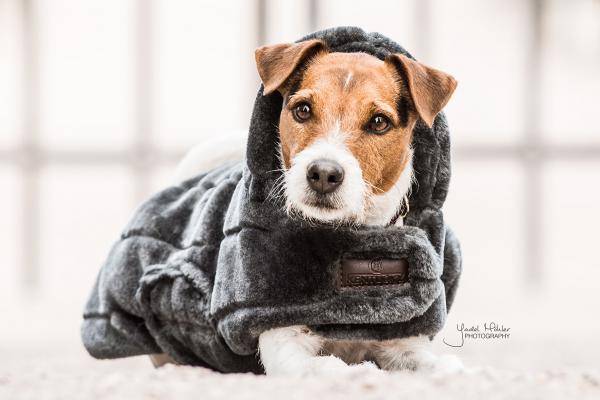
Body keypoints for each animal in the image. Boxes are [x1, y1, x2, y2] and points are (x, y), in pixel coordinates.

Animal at [173, 39, 460, 376]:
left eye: (379, 122)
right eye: (303, 110)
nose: (324, 173)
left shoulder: (403, 342)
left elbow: (440, 366)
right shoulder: (286, 342)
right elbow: (330, 367)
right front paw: (361, 372)